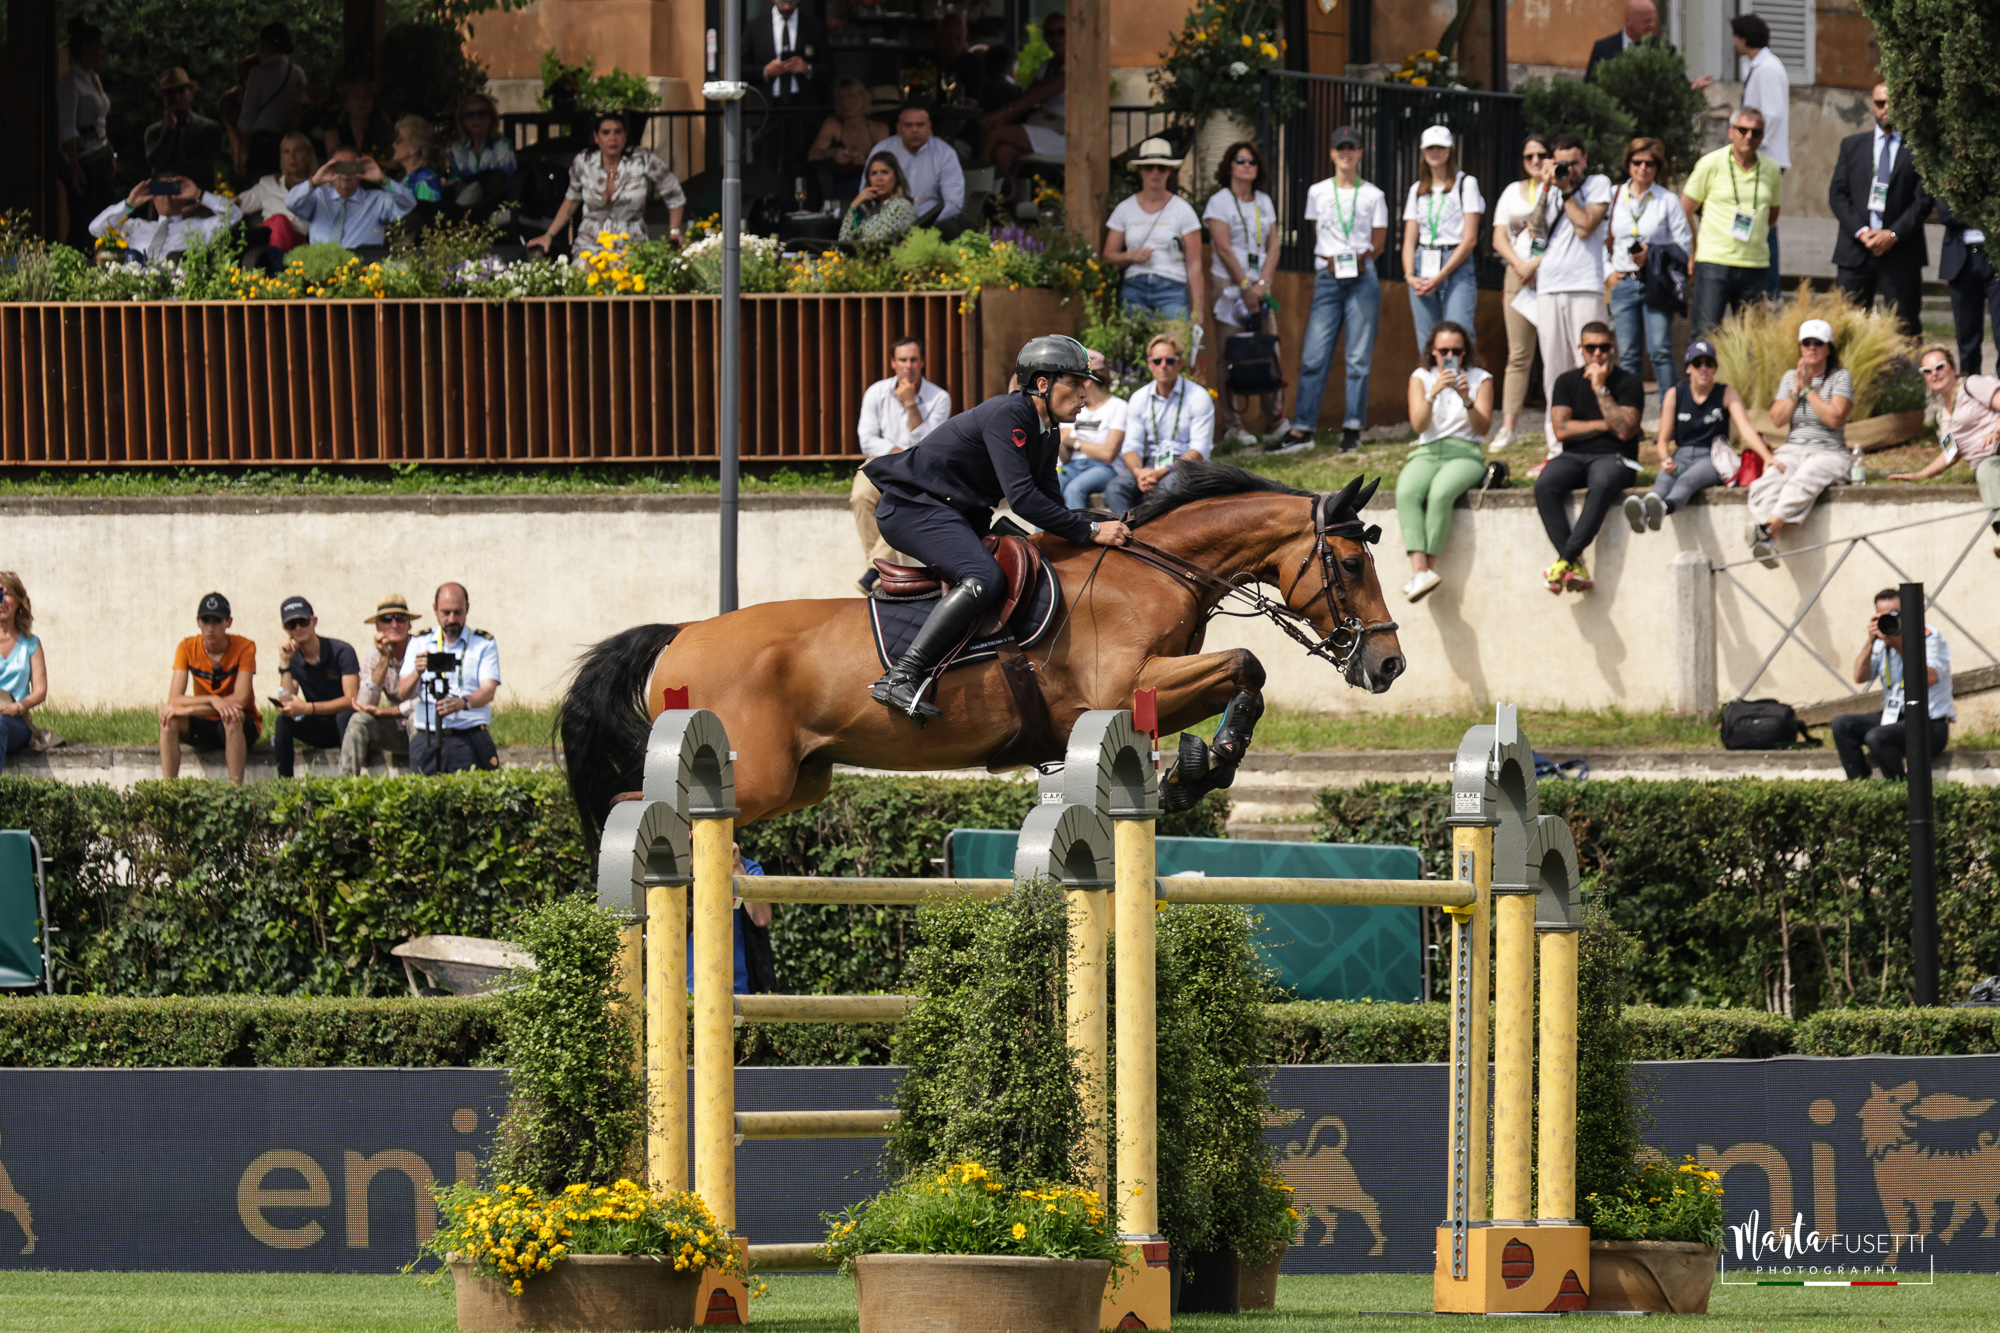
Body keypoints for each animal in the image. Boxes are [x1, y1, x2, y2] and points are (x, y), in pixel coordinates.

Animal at [560, 460, 1408, 832]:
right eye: (1353, 564)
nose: (1389, 662)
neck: (1151, 569)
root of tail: (681, 635)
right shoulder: (1125, 687)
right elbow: (1247, 663)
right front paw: (1204, 765)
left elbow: (1243, 675)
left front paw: (1197, 767)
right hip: (757, 774)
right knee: (632, 804)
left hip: (795, 781)